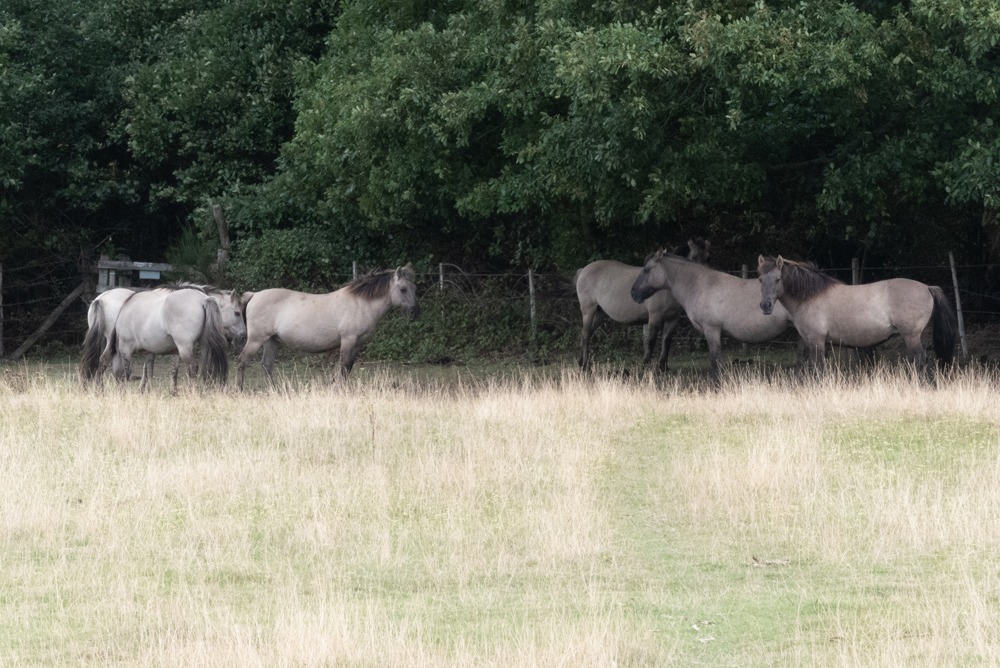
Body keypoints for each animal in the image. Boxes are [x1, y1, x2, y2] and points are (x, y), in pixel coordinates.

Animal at [236, 264, 420, 388]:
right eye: (403, 289)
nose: (415, 313)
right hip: (256, 340)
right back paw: (240, 390)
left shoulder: (358, 344)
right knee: (242, 361)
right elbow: (343, 367)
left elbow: (348, 368)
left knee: (267, 366)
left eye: (414, 287)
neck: (361, 304)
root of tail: (254, 295)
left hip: (271, 340)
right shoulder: (348, 341)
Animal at [752, 254, 956, 370]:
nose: (765, 306)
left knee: (919, 359)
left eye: (778, 279)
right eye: (760, 279)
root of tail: (927, 287)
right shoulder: (815, 342)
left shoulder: (816, 340)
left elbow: (818, 368)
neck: (810, 296)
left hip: (911, 335)